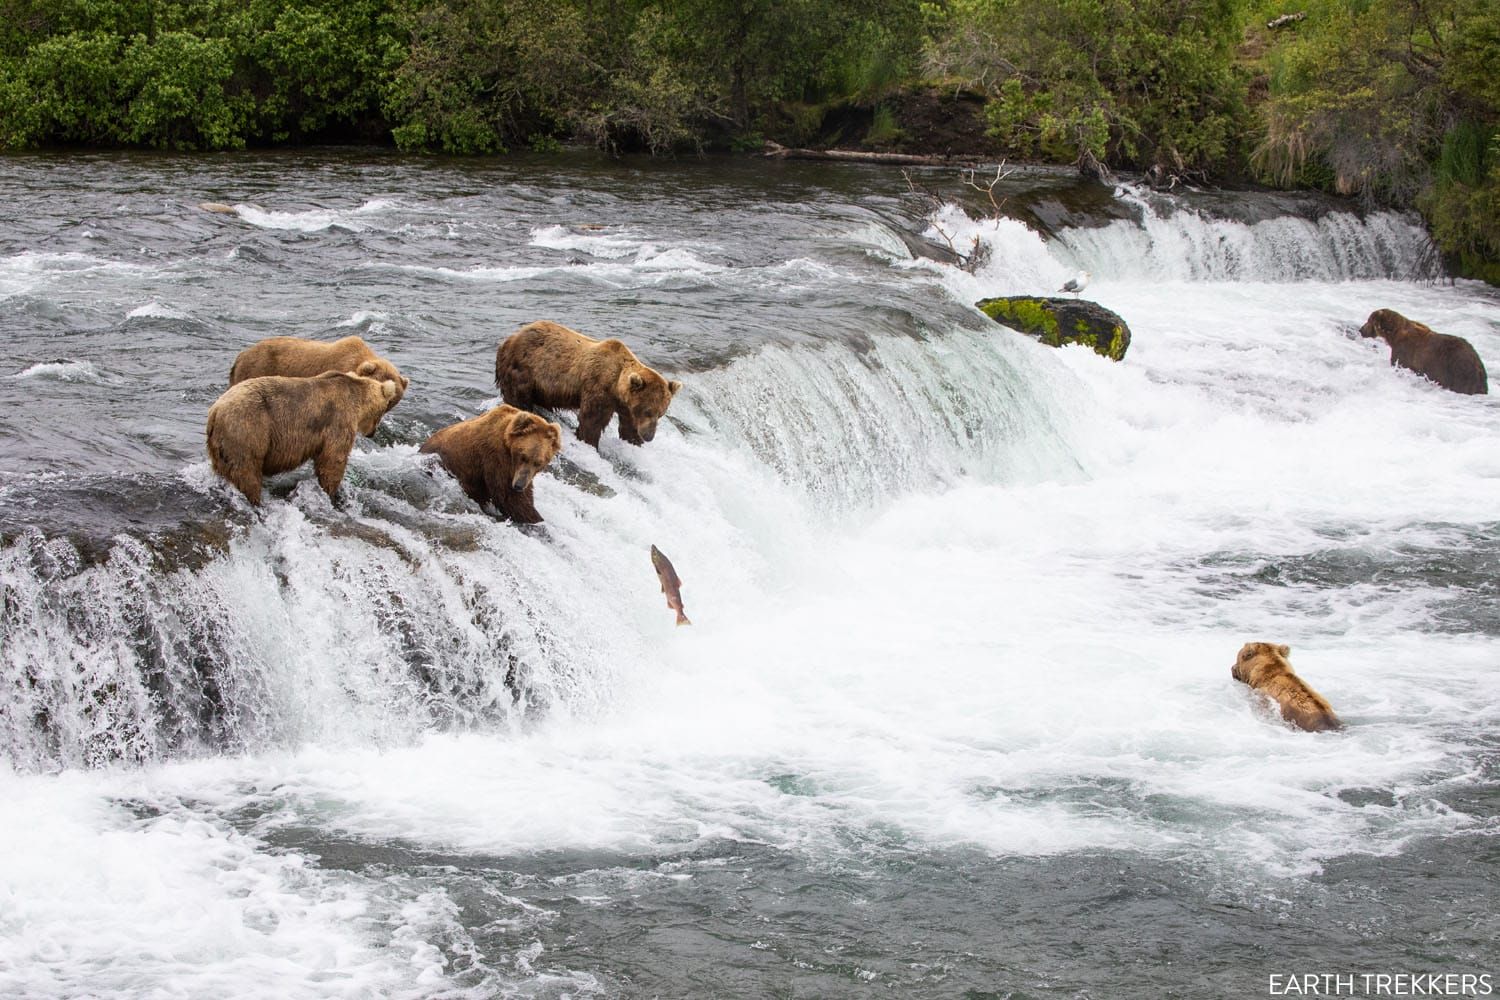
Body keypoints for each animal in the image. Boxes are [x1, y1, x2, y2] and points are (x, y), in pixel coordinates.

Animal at [208, 371, 405, 503]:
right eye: (384, 409)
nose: (372, 433)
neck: (357, 398)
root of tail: (215, 411)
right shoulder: (339, 420)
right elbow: (333, 460)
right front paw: (332, 492)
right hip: (248, 430)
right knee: (247, 473)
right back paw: (255, 499)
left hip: (221, 446)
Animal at [420, 401, 564, 524]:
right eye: (523, 456)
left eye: (538, 463)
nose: (519, 486)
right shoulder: (495, 459)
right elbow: (508, 497)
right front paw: (536, 518)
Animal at [495, 320, 684, 449]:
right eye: (648, 411)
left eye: (661, 413)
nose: (649, 436)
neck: (616, 387)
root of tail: (510, 338)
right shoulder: (599, 388)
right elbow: (592, 419)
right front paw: (589, 441)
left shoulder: (625, 406)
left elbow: (627, 426)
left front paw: (633, 439)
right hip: (524, 367)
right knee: (518, 394)